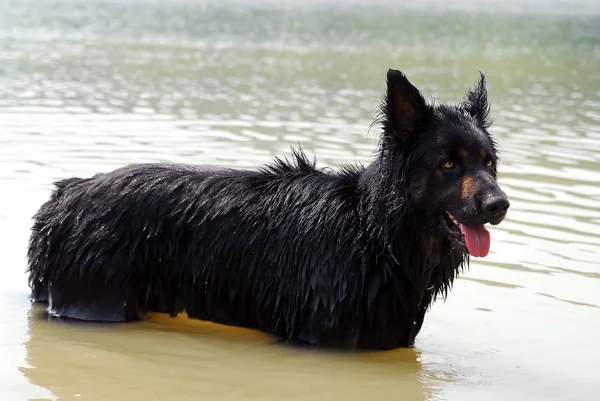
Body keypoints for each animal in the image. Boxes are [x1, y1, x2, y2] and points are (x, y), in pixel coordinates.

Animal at [27, 69, 506, 346]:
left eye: (488, 163)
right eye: (449, 164)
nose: (499, 205)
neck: (374, 232)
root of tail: (62, 199)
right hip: (98, 304)